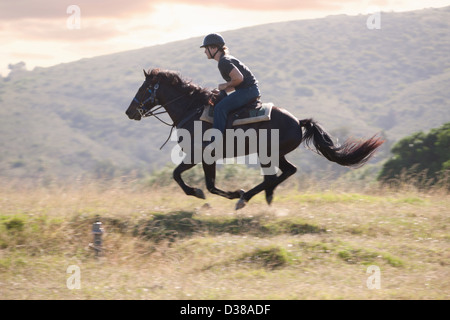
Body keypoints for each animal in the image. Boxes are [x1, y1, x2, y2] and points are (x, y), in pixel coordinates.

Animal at [125, 69, 384, 210]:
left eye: (143, 88)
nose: (130, 112)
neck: (192, 110)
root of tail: (298, 121)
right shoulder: (204, 158)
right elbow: (200, 182)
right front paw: (226, 193)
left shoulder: (199, 156)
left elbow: (186, 179)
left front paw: (208, 193)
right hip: (274, 155)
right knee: (287, 172)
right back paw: (265, 197)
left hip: (267, 154)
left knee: (273, 177)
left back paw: (245, 198)